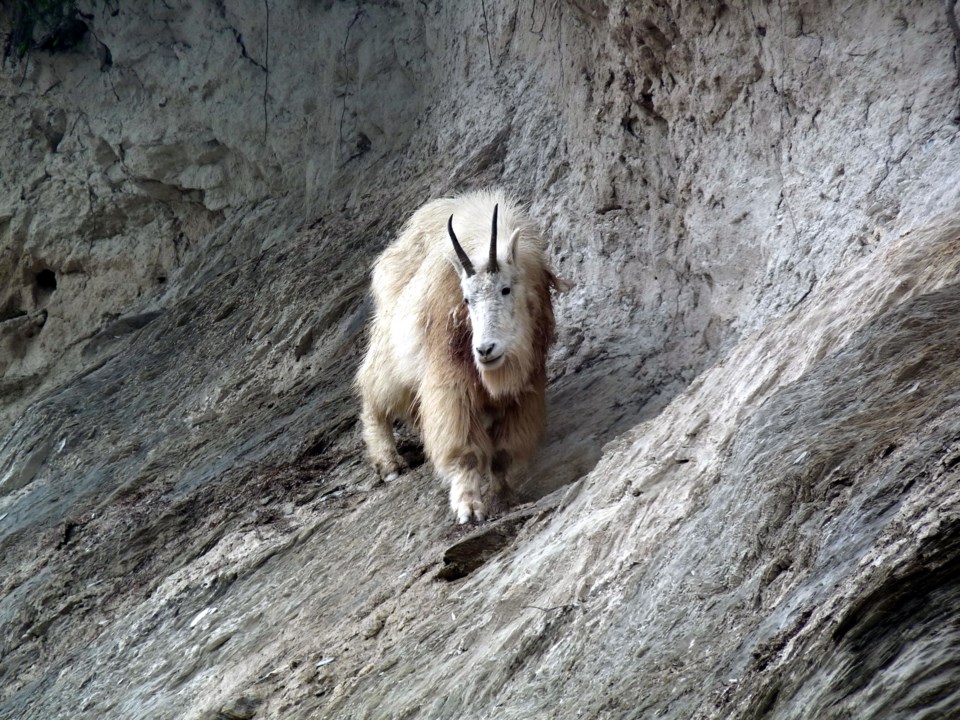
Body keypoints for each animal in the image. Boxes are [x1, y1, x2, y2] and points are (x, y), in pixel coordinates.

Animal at [354, 186, 564, 524]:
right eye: (466, 299)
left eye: (506, 289)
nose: (485, 350)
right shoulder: (451, 378)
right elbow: (464, 450)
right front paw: (469, 507)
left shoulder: (525, 386)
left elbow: (503, 454)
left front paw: (505, 499)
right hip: (392, 348)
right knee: (374, 391)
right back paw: (389, 462)